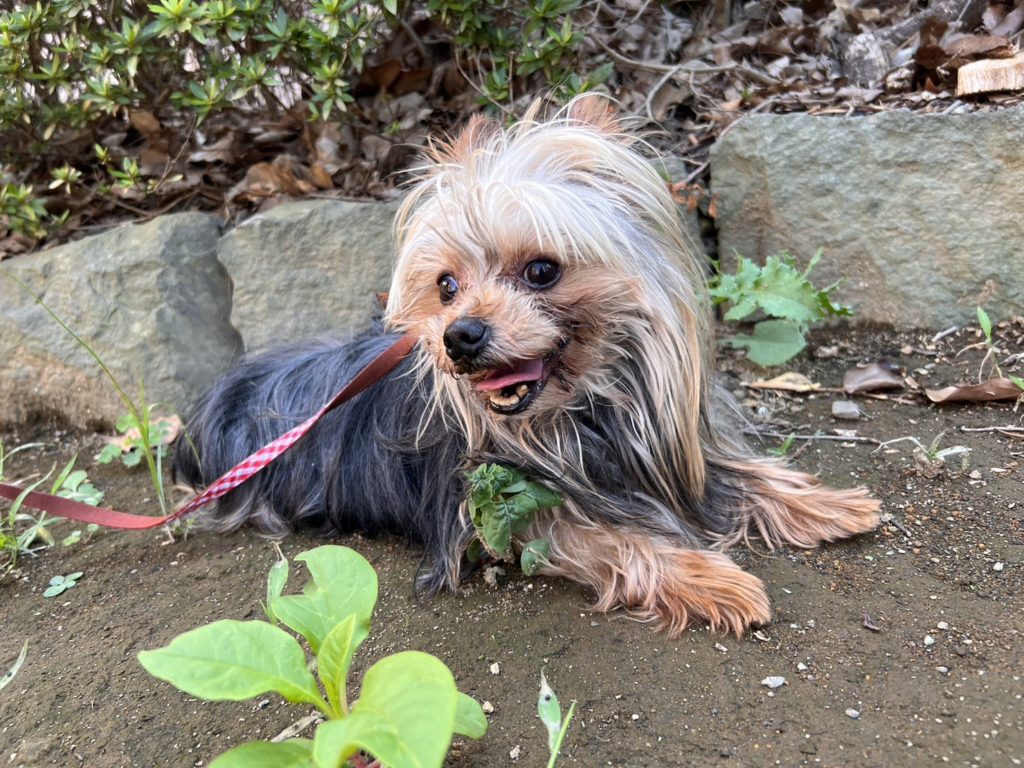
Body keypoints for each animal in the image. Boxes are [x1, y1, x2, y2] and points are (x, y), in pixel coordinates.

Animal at [174, 96, 880, 636]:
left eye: (542, 270)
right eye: (446, 286)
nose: (459, 336)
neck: (580, 411)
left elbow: (749, 476)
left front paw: (831, 505)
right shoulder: (517, 515)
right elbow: (620, 541)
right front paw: (711, 580)